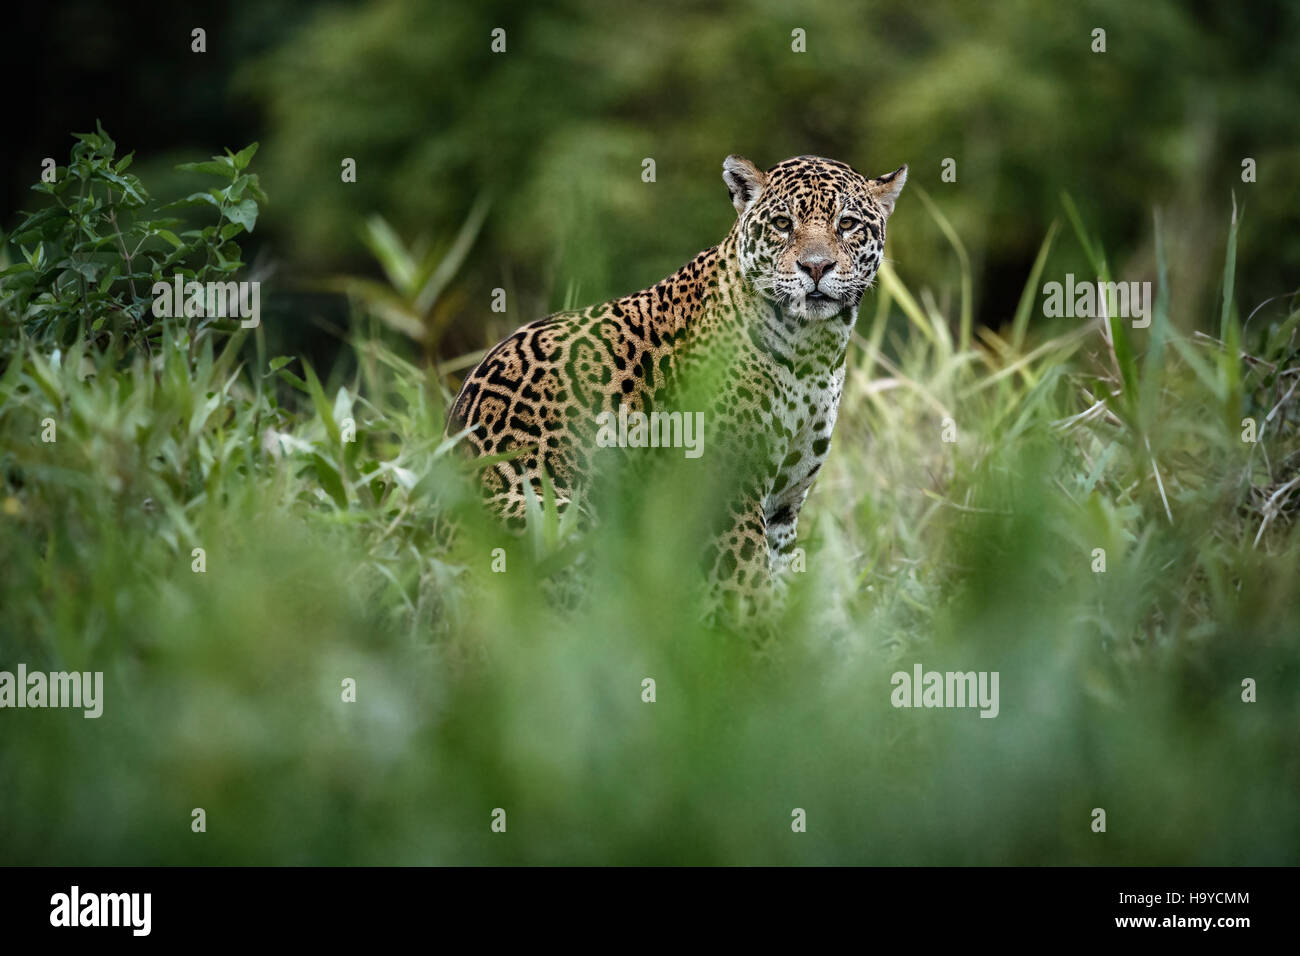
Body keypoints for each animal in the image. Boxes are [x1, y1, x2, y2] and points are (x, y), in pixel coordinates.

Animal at [447, 154, 906, 613]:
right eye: (782, 223)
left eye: (847, 224)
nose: (815, 267)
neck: (812, 351)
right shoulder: (725, 492)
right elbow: (748, 588)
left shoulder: (782, 507)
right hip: (555, 515)